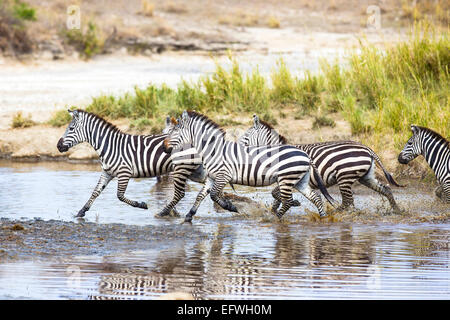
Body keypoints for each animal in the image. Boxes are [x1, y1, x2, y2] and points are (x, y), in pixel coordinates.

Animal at [56, 109, 206, 218]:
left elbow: (120, 195)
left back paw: (164, 212)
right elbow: (95, 192)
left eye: (71, 129)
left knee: (180, 193)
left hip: (182, 168)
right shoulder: (107, 172)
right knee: (207, 189)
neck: (110, 146)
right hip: (196, 170)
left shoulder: (124, 172)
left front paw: (141, 204)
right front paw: (81, 212)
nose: (58, 146)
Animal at [163, 110, 338, 222]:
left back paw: (274, 219)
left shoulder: (223, 176)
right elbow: (201, 195)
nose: (164, 148)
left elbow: (213, 195)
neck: (214, 150)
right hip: (299, 180)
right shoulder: (212, 178)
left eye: (175, 132)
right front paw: (189, 216)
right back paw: (324, 218)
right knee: (316, 198)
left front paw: (231, 207)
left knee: (288, 201)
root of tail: (306, 155)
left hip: (286, 179)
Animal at [239, 114, 400, 212]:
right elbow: (276, 199)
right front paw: (273, 214)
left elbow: (275, 194)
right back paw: (397, 211)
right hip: (366, 176)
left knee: (348, 201)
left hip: (345, 177)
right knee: (385, 189)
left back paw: (339, 212)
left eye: (244, 140)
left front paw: (290, 205)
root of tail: (368, 149)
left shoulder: (287, 179)